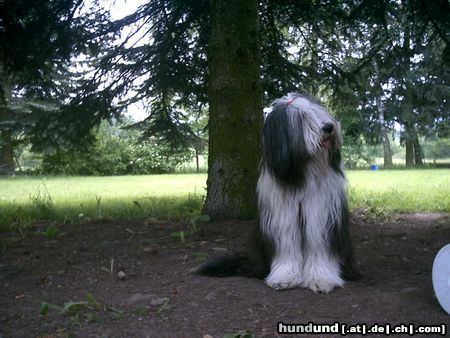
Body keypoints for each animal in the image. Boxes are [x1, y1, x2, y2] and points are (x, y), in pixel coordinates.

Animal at [195, 92, 360, 294]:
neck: (303, 174)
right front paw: (285, 278)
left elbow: (319, 248)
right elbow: (286, 249)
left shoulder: (321, 215)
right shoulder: (282, 217)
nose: (328, 127)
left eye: (318, 110)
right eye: (301, 118)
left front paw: (321, 280)